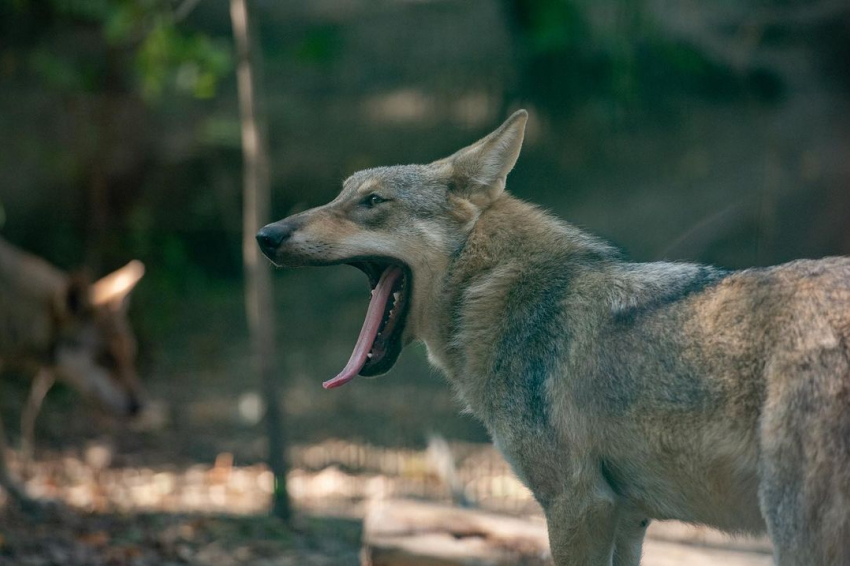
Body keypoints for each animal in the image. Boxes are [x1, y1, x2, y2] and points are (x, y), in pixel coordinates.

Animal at [256, 112, 848, 566]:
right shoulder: (627, 517)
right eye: (340, 194)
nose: (265, 235)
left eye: (372, 201)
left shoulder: (577, 505)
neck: (502, 288)